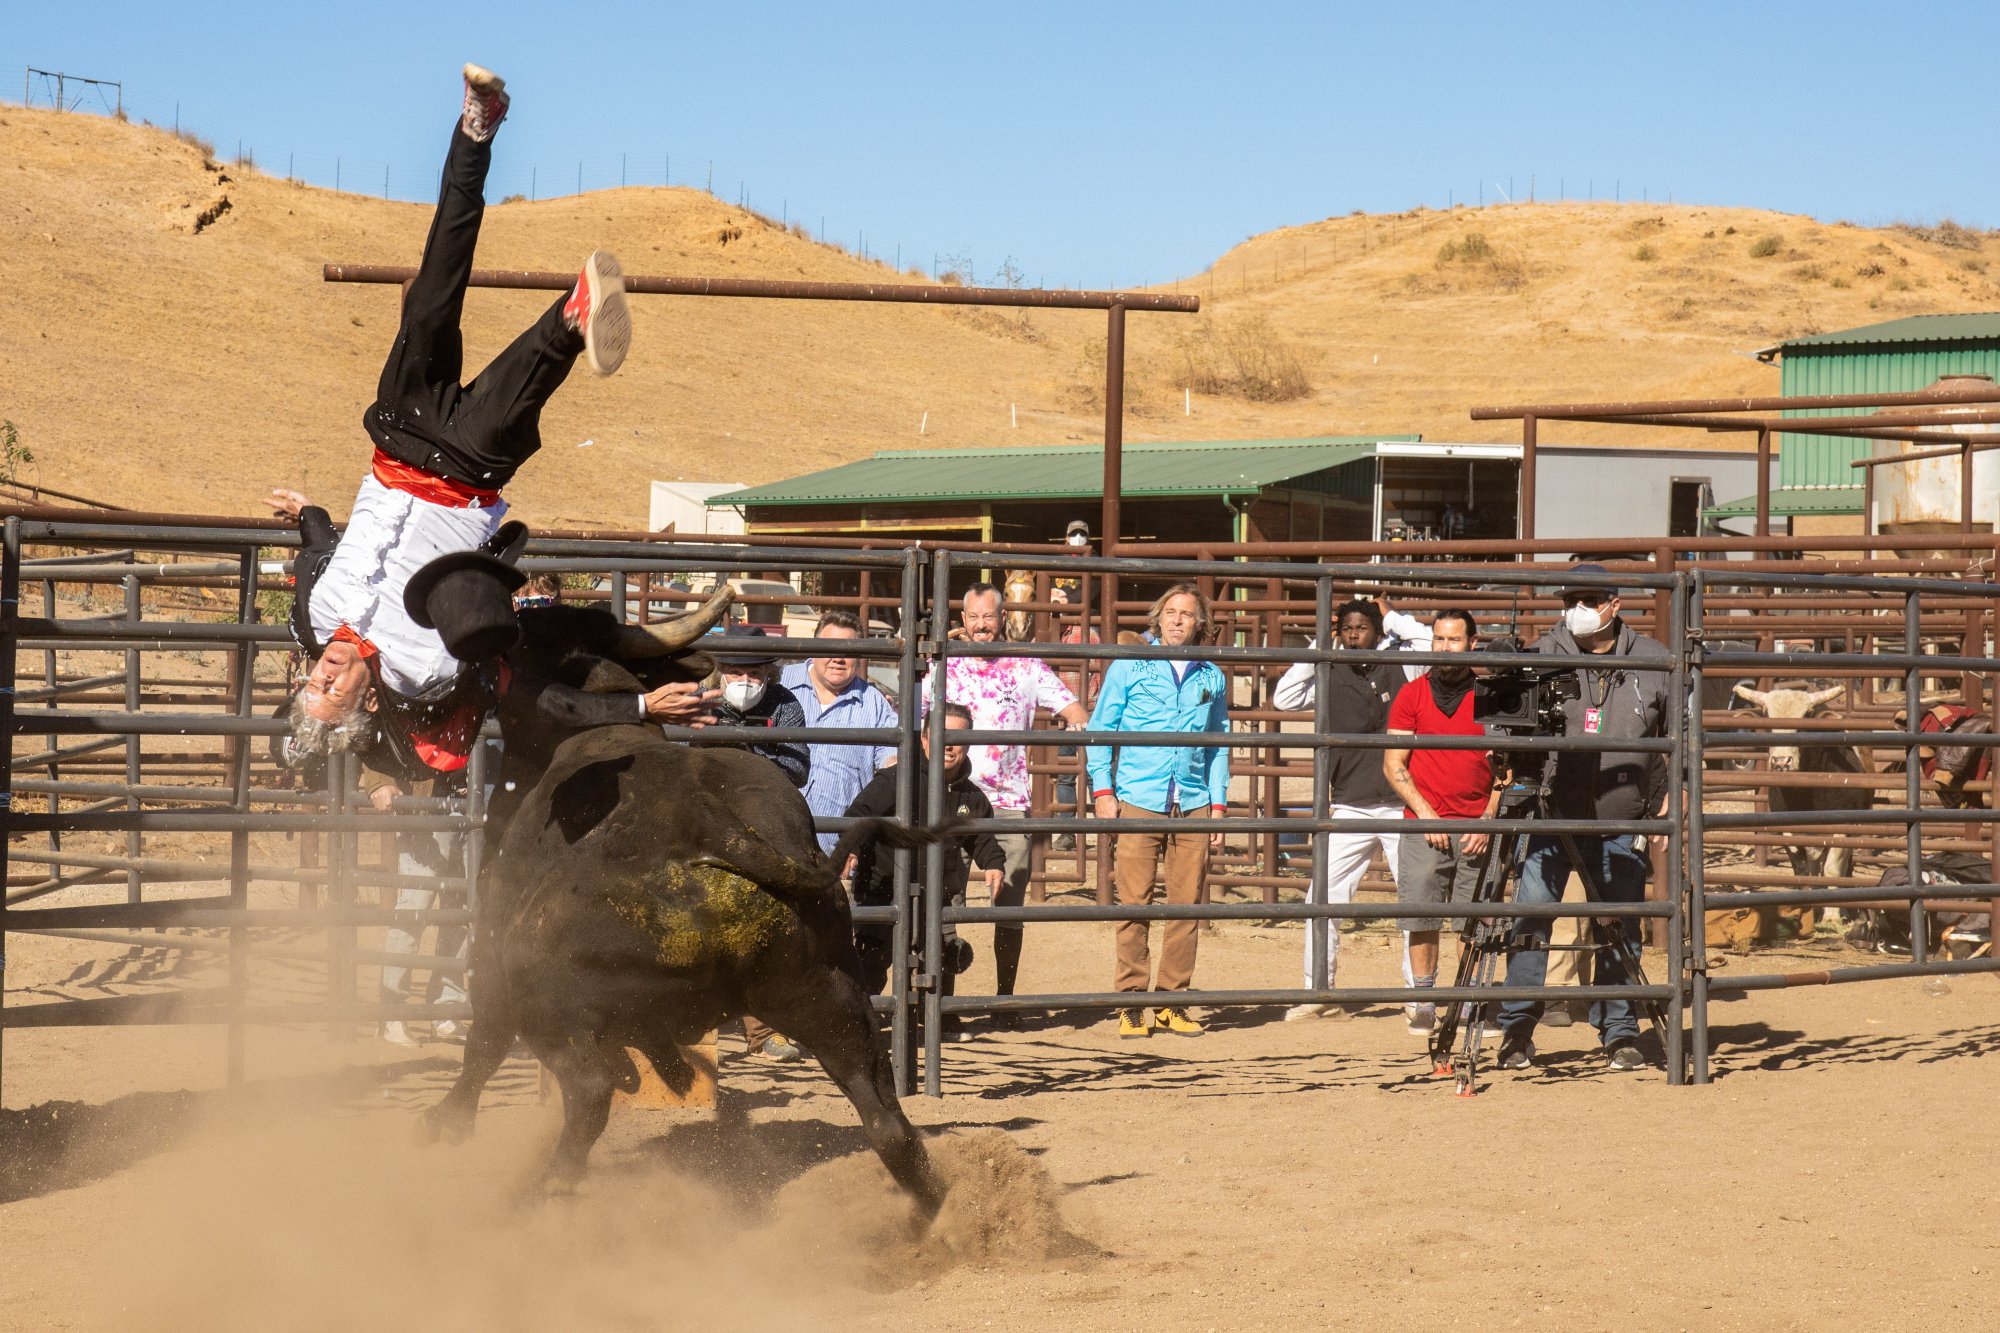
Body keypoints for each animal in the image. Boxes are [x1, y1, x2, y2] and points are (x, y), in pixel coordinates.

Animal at [416, 588, 944, 1200]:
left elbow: (484, 1042)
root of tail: (712, 827)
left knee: (588, 1090)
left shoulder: (493, 956)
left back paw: (544, 1190)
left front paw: (446, 1122)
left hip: (545, 1001)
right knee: (885, 1119)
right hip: (831, 995)